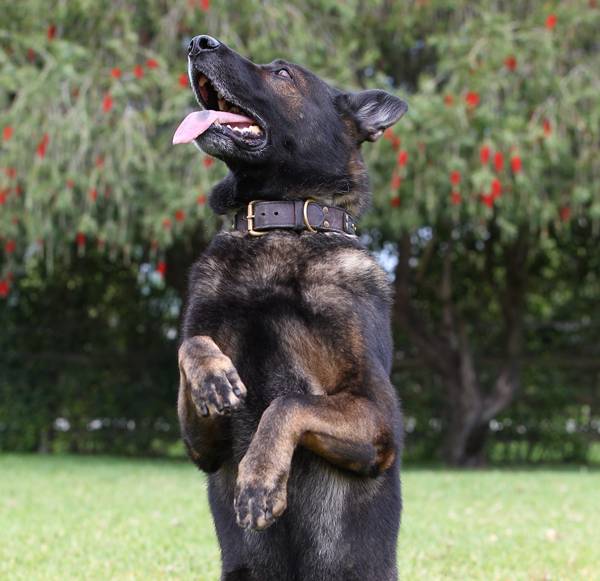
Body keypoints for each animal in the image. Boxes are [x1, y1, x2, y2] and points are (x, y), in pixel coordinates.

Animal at [173, 35, 408, 580]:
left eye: (282, 73)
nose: (198, 42)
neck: (278, 227)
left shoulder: (378, 418)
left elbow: (288, 405)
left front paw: (260, 480)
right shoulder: (202, 444)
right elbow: (189, 344)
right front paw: (214, 377)